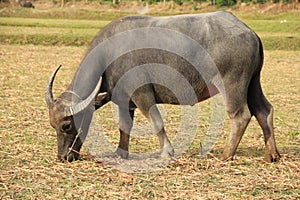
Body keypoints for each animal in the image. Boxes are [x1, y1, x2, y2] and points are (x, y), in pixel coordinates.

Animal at [45, 11, 280, 162]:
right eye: (53, 125)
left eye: (66, 125)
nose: (63, 157)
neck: (108, 55)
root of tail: (249, 31)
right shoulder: (124, 100)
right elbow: (124, 126)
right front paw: (120, 153)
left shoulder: (142, 93)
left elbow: (156, 121)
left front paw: (167, 152)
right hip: (253, 82)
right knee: (264, 110)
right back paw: (272, 155)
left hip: (232, 83)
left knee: (240, 115)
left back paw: (225, 155)